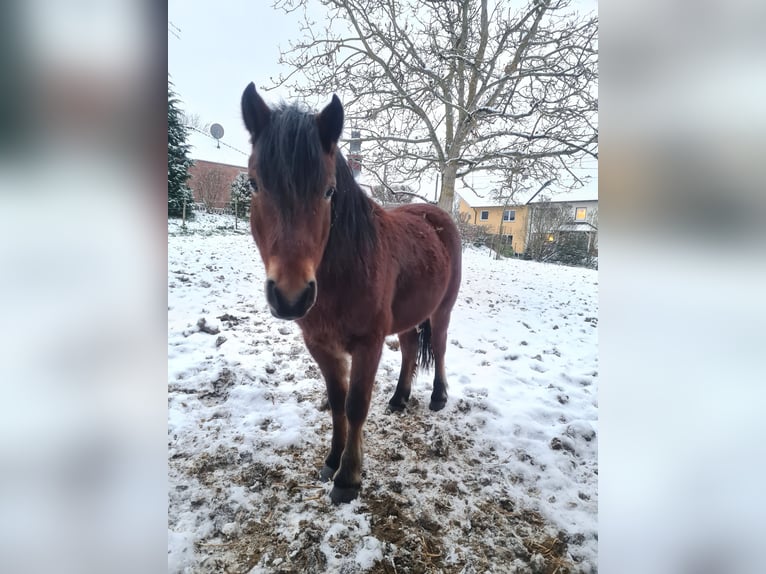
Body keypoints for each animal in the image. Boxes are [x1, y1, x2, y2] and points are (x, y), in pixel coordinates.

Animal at [240, 83, 462, 506]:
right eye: (254, 184)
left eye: (329, 191)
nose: (291, 296)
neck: (345, 272)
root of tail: (438, 217)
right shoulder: (320, 344)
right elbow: (337, 401)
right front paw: (331, 460)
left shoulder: (368, 343)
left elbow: (356, 404)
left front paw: (349, 478)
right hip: (407, 315)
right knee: (411, 348)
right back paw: (399, 399)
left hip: (442, 309)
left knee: (439, 347)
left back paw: (438, 397)